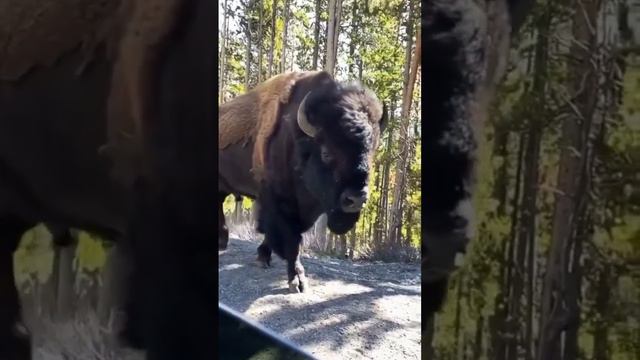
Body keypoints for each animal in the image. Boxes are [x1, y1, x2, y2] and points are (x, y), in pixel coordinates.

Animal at [218, 70, 388, 292]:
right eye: (326, 153)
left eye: (371, 153)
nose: (356, 199)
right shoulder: (279, 202)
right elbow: (291, 240)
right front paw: (297, 280)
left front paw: (264, 257)